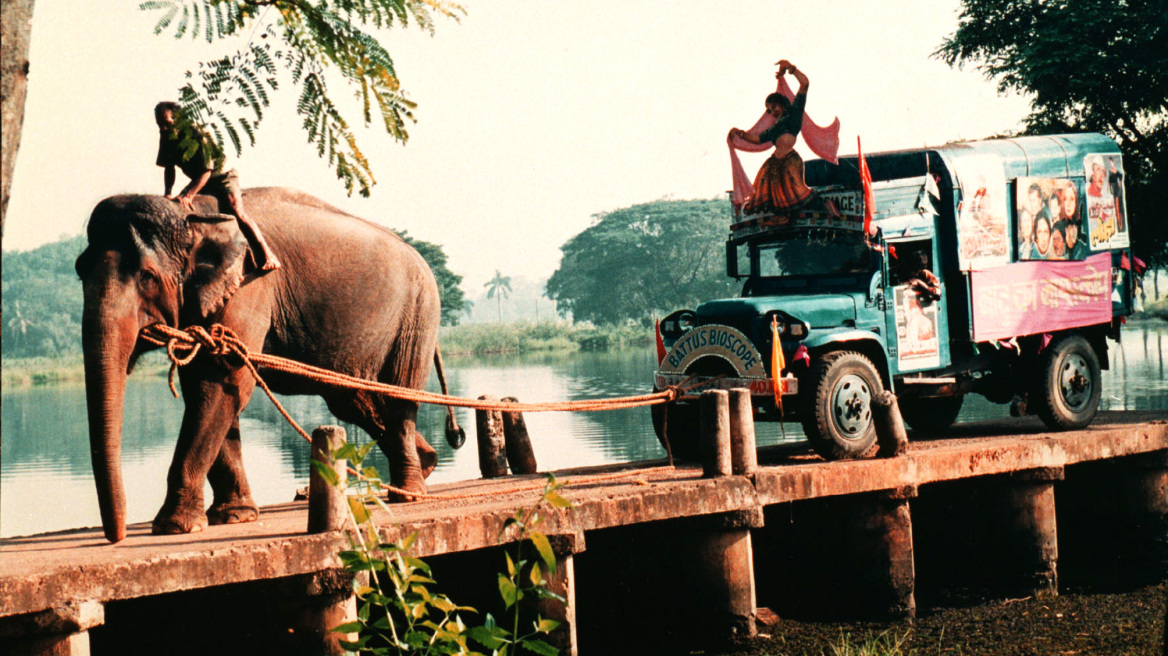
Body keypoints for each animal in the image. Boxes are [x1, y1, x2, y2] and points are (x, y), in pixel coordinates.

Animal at [70, 185, 464, 541]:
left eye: (147, 277)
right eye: (79, 271)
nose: (116, 537)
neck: (193, 216)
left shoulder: (250, 287)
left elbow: (220, 383)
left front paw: (174, 527)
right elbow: (210, 388)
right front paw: (234, 517)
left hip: (418, 314)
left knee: (398, 397)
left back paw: (409, 494)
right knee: (355, 401)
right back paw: (426, 465)